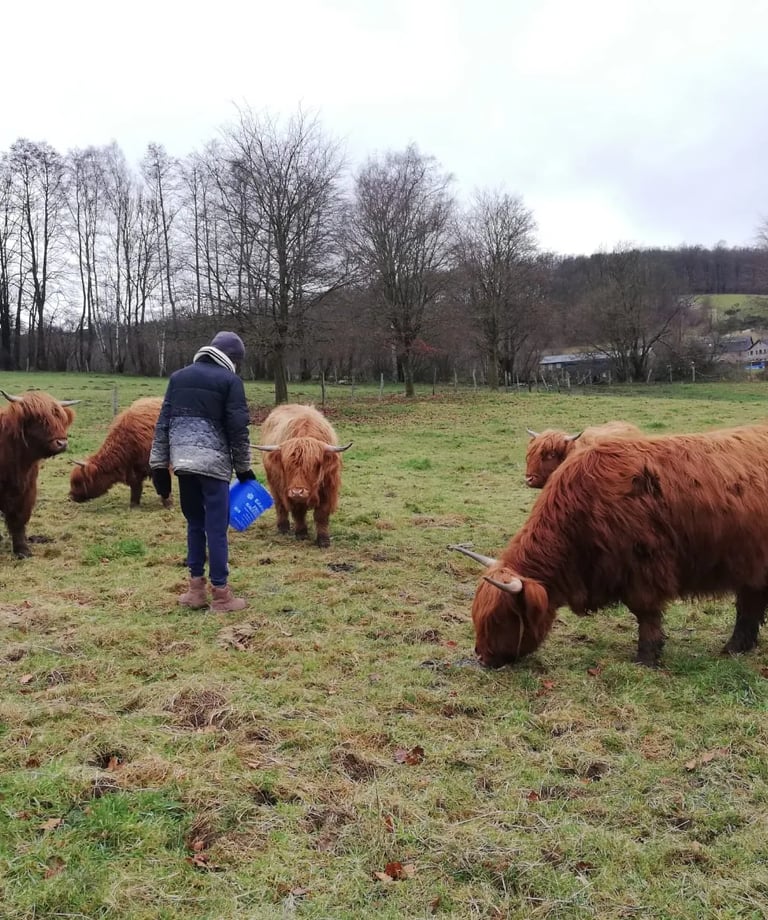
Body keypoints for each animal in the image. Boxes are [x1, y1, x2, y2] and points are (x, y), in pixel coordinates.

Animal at [0, 389, 78, 558]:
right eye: (39, 419)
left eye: (61, 418)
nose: (62, 443)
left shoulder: (27, 490)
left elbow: (19, 519)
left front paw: (22, 550)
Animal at [255, 404, 351, 547]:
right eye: (287, 465)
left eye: (314, 465)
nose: (297, 491)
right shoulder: (288, 491)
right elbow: (298, 512)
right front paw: (301, 533)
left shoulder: (328, 489)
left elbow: (321, 515)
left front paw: (323, 540)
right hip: (274, 484)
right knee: (280, 505)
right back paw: (283, 527)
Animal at [451, 425, 768, 668]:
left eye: (499, 619)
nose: (482, 657)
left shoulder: (644, 570)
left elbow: (646, 615)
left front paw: (646, 658)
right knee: (750, 602)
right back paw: (737, 647)